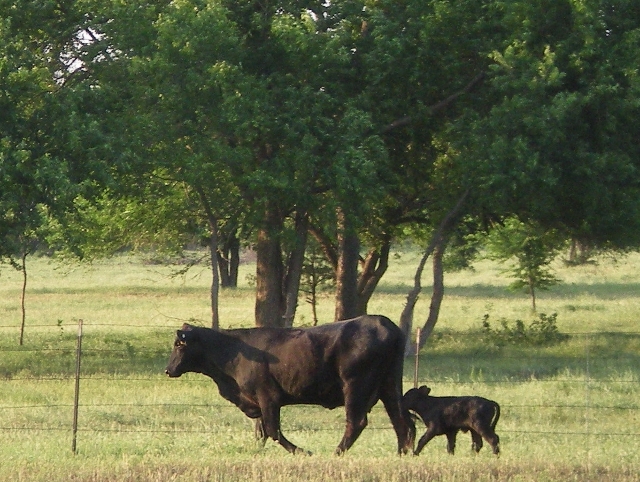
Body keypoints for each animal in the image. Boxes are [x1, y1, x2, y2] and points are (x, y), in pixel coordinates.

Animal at [165, 314, 416, 454]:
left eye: (179, 344)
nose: (168, 370)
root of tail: (384, 323)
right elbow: (263, 432)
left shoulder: (268, 396)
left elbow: (272, 430)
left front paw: (303, 452)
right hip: (389, 385)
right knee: (403, 421)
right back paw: (402, 454)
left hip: (356, 386)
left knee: (357, 422)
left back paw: (336, 452)